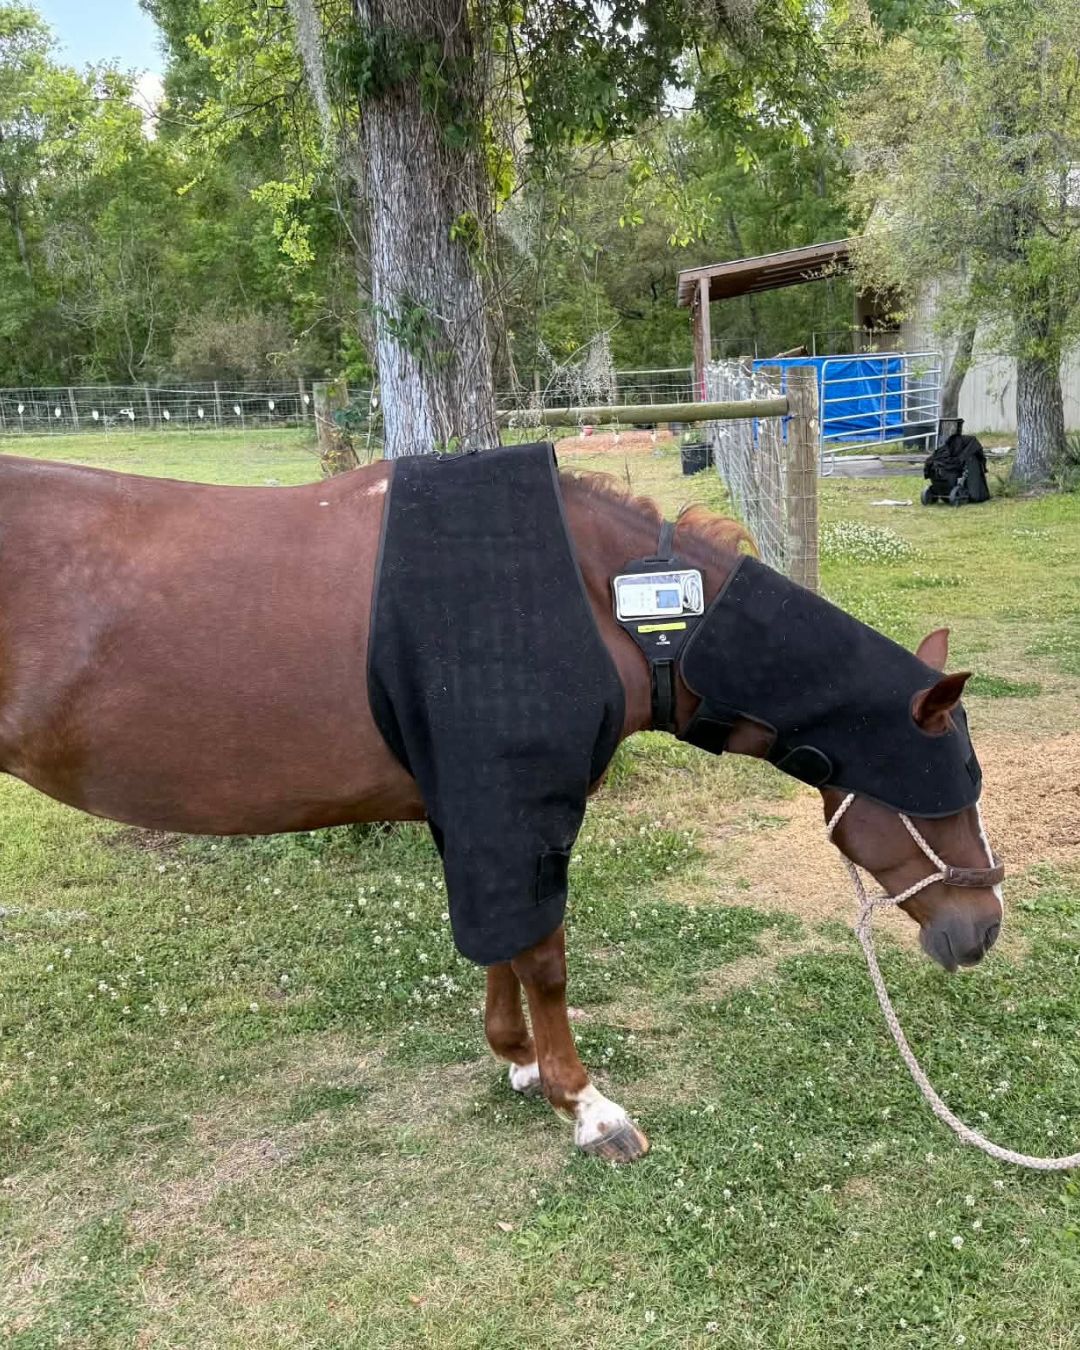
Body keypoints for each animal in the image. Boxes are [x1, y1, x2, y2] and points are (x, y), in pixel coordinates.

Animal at [0, 451, 1003, 1162]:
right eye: (948, 787)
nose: (982, 928)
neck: (611, 607)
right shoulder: (520, 809)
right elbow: (544, 957)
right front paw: (587, 1108)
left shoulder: (482, 812)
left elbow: (499, 949)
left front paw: (517, 1061)